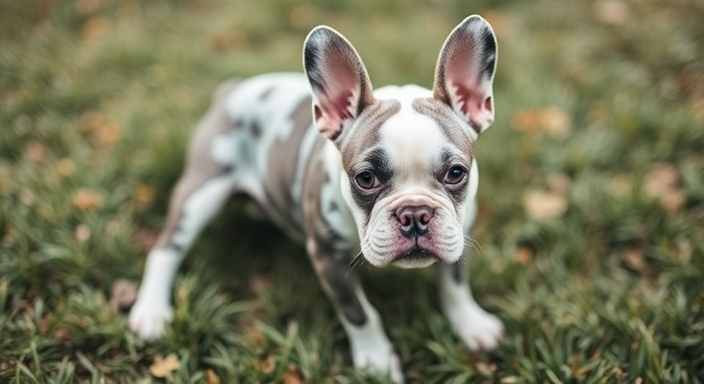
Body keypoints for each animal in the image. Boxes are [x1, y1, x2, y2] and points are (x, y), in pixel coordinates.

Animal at [126, 14, 500, 380]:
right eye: (366, 178)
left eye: (456, 173)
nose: (414, 213)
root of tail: (232, 90)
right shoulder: (327, 257)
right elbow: (360, 314)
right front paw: (376, 363)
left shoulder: (460, 233)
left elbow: (455, 284)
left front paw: (471, 324)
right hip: (201, 191)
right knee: (166, 248)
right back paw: (152, 312)